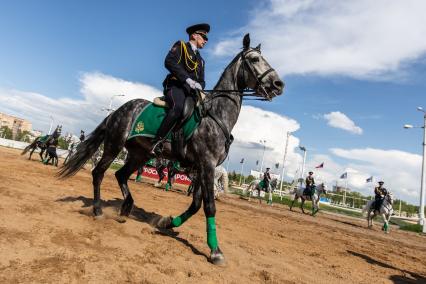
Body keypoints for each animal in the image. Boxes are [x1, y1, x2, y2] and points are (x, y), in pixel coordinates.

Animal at [56, 34, 282, 266]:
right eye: (254, 59)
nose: (278, 84)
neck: (215, 115)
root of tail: (118, 110)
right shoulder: (207, 165)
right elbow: (209, 206)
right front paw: (215, 251)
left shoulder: (201, 168)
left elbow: (196, 204)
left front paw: (167, 223)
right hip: (113, 146)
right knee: (99, 173)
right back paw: (99, 210)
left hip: (139, 154)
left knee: (121, 175)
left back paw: (126, 208)